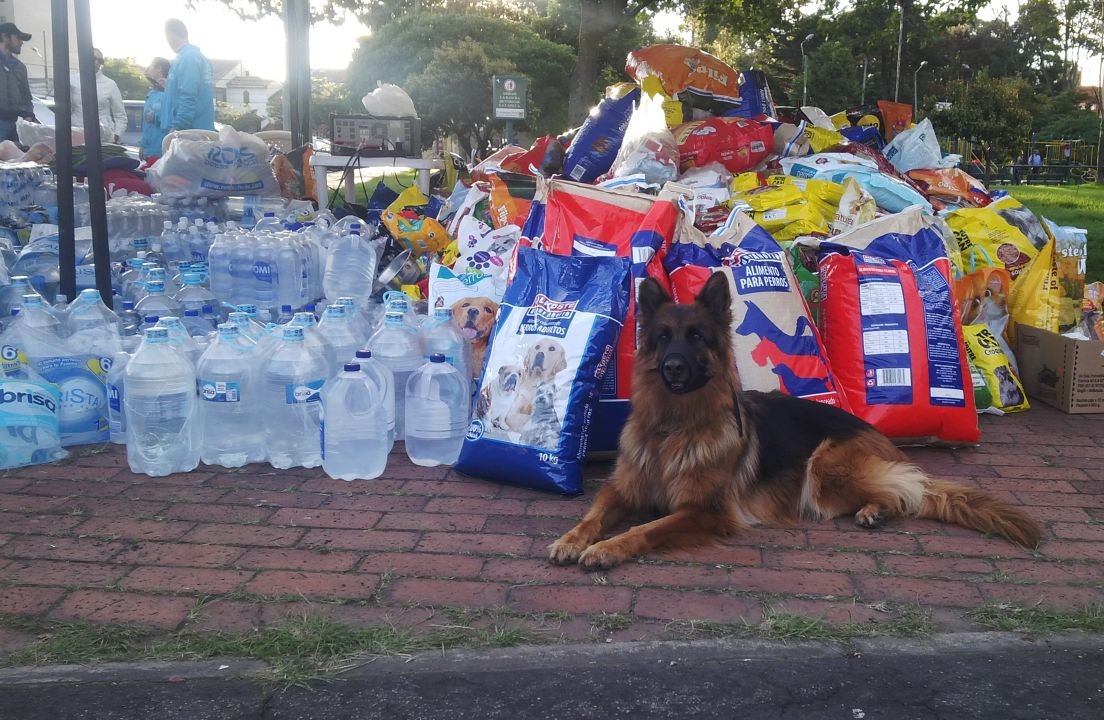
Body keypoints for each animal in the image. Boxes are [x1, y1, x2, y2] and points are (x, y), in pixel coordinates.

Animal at [552, 272, 1042, 569]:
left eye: (696, 338)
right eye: (663, 338)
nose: (673, 367)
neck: (673, 427)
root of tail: (877, 433)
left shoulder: (704, 511)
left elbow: (646, 528)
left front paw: (608, 548)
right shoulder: (622, 488)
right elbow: (593, 515)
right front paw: (573, 539)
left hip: (823, 466)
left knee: (906, 493)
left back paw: (875, 509)